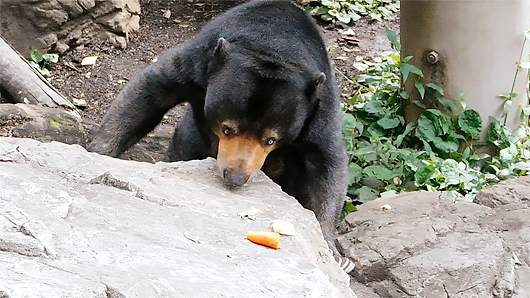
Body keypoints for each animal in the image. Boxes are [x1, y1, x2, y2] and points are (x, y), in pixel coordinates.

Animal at [88, 0, 348, 270]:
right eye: (226, 129)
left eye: (271, 140)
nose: (235, 178)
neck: (274, 47)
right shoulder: (199, 63)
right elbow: (152, 91)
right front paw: (97, 151)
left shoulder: (319, 106)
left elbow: (325, 163)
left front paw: (333, 253)